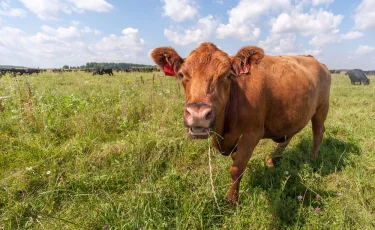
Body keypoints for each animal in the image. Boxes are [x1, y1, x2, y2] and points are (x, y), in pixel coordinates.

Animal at [151, 42, 332, 203]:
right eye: (182, 75)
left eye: (227, 75)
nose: (198, 115)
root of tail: (317, 61)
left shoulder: (251, 134)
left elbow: (236, 168)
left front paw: (232, 200)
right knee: (288, 136)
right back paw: (273, 160)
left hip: (321, 109)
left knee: (318, 132)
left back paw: (312, 159)